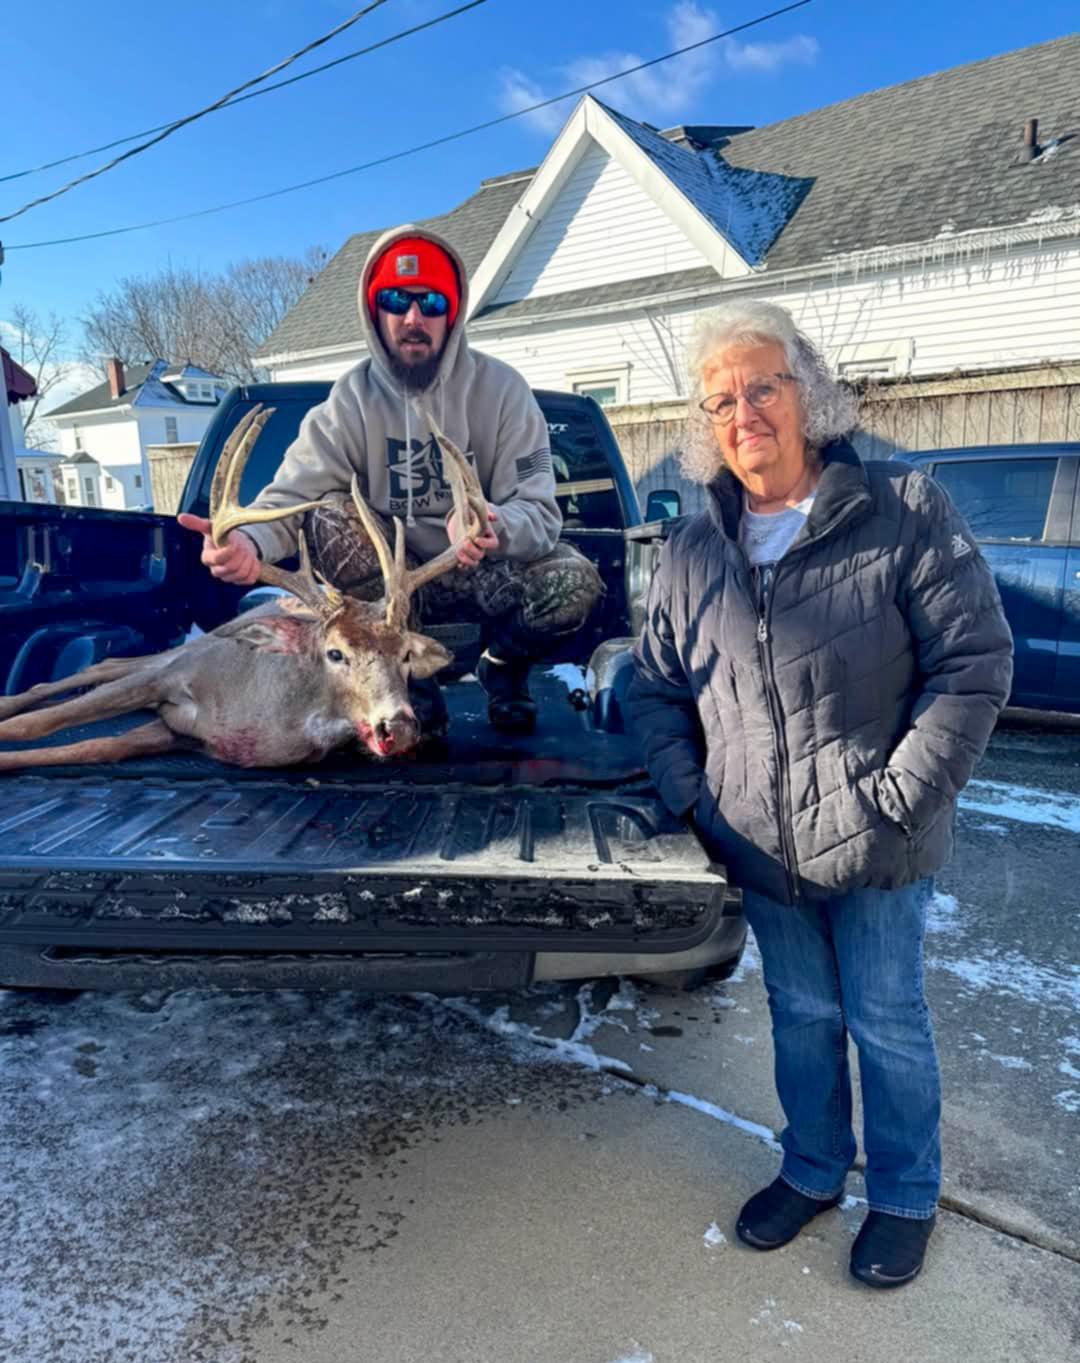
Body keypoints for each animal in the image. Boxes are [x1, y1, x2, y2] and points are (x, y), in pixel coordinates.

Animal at [0, 397, 485, 774]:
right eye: (336, 653)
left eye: (405, 656)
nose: (397, 726)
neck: (271, 711)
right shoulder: (177, 674)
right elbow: (37, 724)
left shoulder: (179, 731)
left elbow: (92, 746)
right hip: (196, 646)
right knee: (99, 670)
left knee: (107, 666)